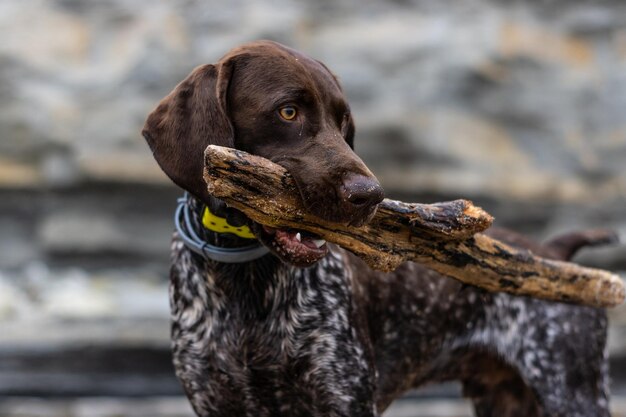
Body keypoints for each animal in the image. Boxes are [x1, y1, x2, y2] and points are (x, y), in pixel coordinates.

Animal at [144, 39, 612, 416]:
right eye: (288, 111)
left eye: (343, 122)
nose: (370, 194)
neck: (243, 281)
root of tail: (553, 251)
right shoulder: (215, 399)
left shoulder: (344, 394)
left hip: (574, 391)